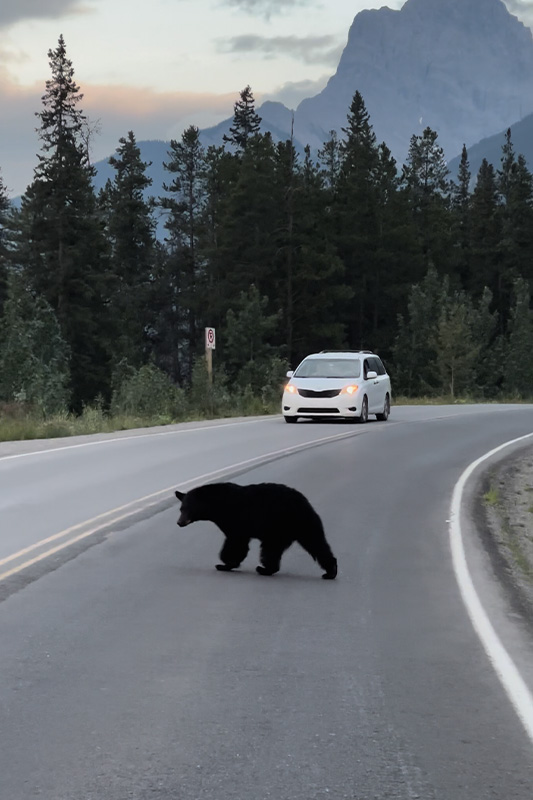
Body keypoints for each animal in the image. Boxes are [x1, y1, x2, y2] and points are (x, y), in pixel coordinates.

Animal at [175, 484, 336, 580]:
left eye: (189, 508)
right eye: (181, 509)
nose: (179, 522)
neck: (217, 504)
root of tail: (305, 504)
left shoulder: (235, 519)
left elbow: (235, 543)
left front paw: (225, 563)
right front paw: (227, 564)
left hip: (279, 527)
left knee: (271, 550)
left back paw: (263, 569)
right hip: (304, 526)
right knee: (317, 544)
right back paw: (330, 571)